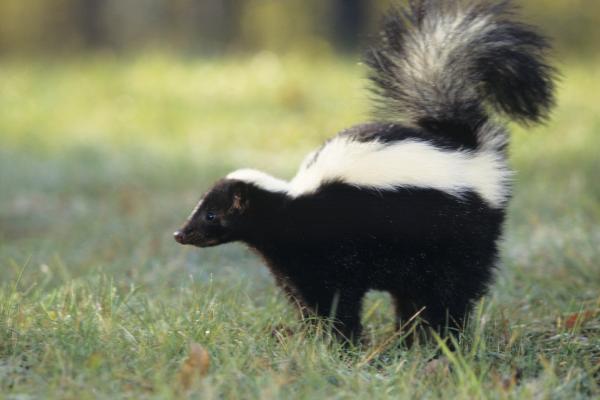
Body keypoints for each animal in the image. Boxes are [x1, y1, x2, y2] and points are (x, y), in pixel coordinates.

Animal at [172, 0, 552, 344]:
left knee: (450, 291)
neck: (289, 207)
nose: (180, 234)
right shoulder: (294, 265)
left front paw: (341, 342)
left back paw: (442, 339)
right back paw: (408, 338)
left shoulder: (330, 251)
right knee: (414, 295)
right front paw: (314, 337)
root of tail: (466, 148)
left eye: (210, 215)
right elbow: (306, 299)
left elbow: (336, 300)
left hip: (459, 236)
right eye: (200, 210)